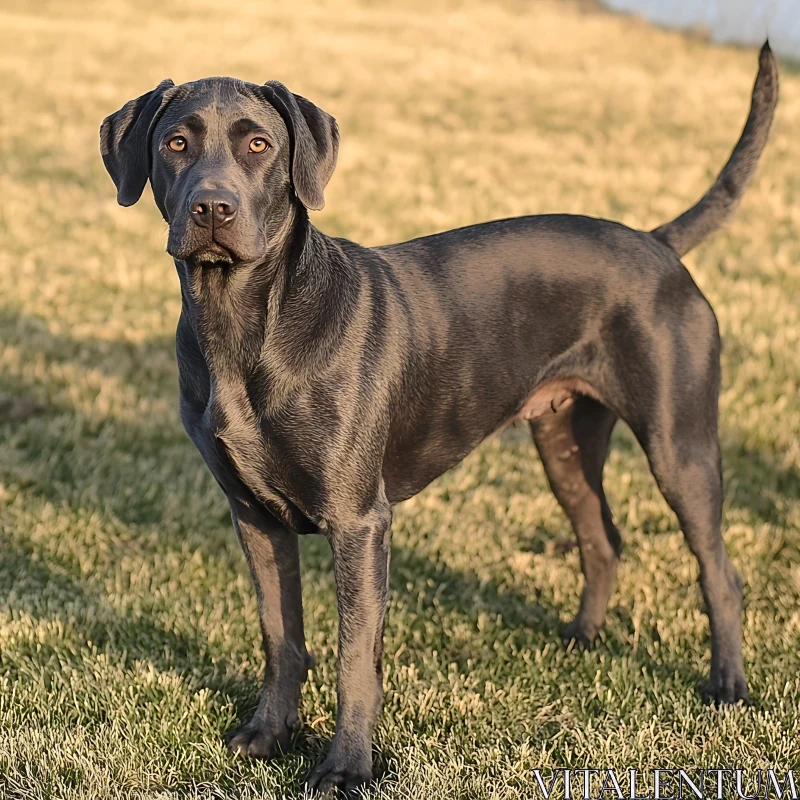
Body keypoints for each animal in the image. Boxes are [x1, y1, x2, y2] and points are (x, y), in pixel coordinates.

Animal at [98, 43, 776, 792]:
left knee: (719, 572)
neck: (247, 325)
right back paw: (581, 640)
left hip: (680, 446)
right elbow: (282, 636)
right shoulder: (254, 516)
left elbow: (354, 659)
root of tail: (658, 245)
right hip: (563, 441)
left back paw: (727, 686)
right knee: (603, 538)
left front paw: (346, 768)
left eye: (258, 145)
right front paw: (270, 734)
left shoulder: (359, 523)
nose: (212, 207)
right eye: (176, 143)